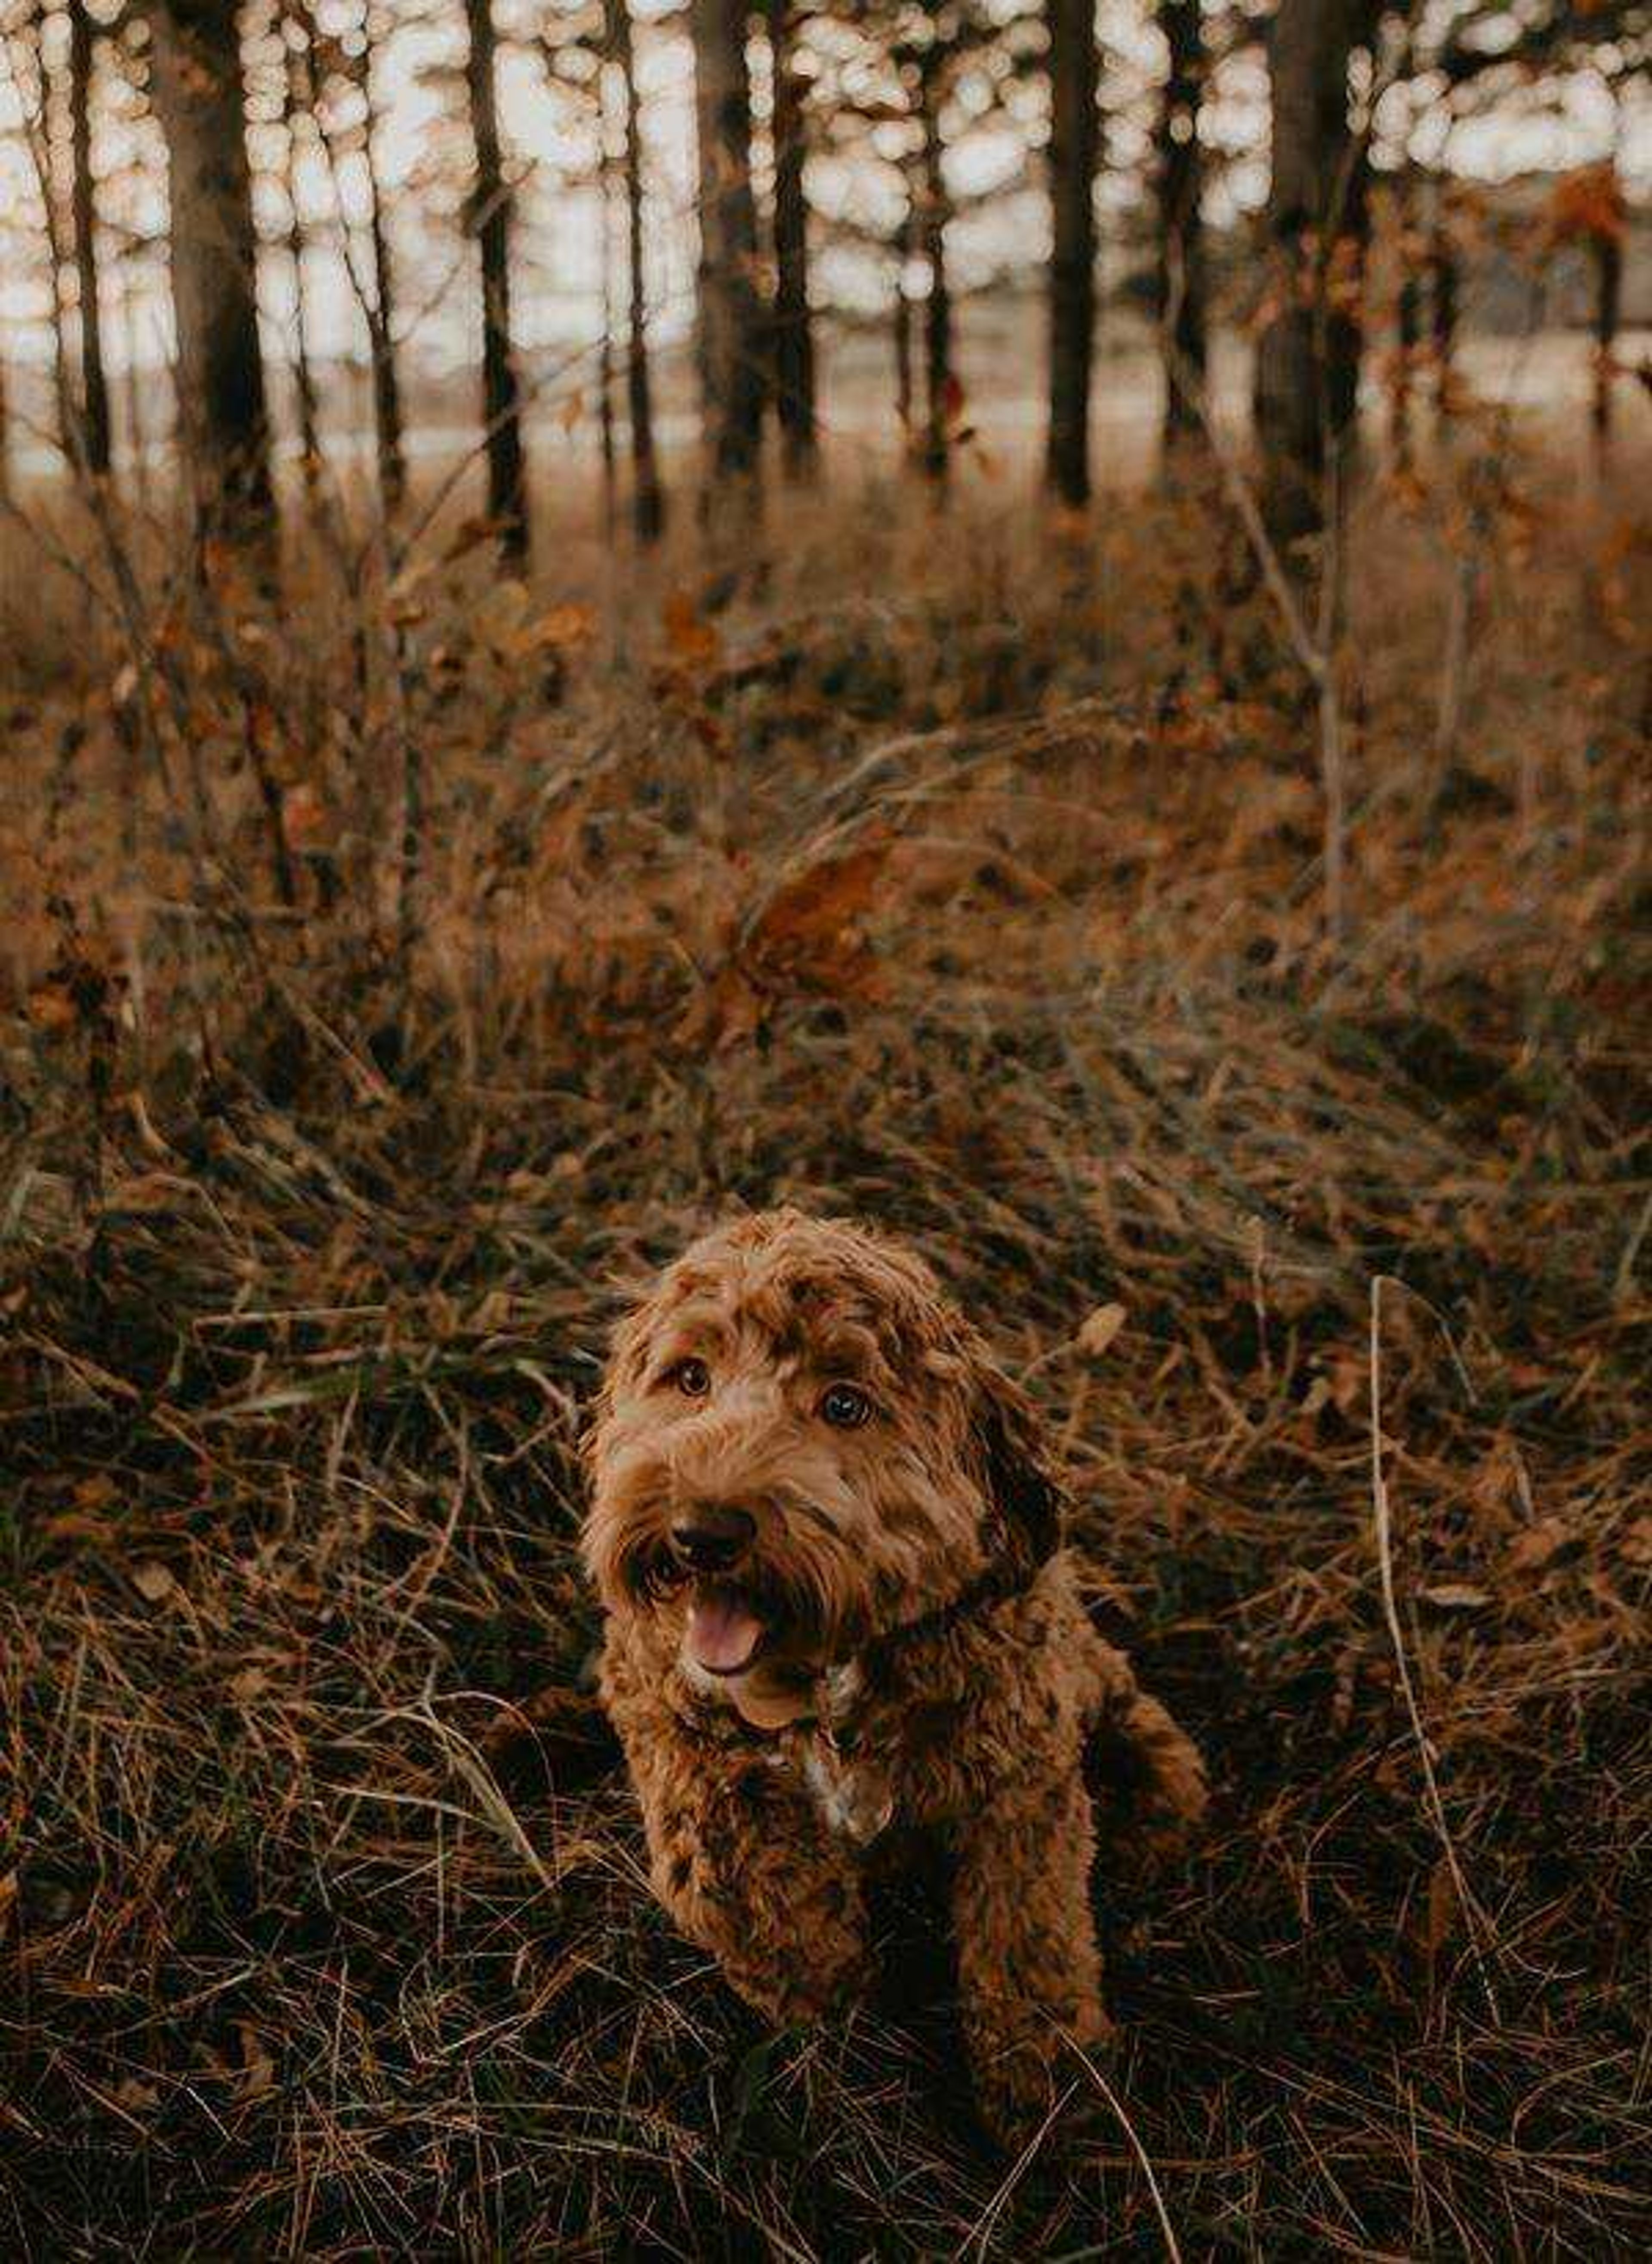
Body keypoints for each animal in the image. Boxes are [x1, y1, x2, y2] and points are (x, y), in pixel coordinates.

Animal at [584, 1213, 1204, 2128]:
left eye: (845, 1404)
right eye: (690, 1377)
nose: (704, 1532)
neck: (827, 1680)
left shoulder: (1020, 1788)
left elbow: (1029, 1939)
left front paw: (1047, 2091)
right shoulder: (687, 1748)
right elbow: (762, 1908)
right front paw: (835, 2012)